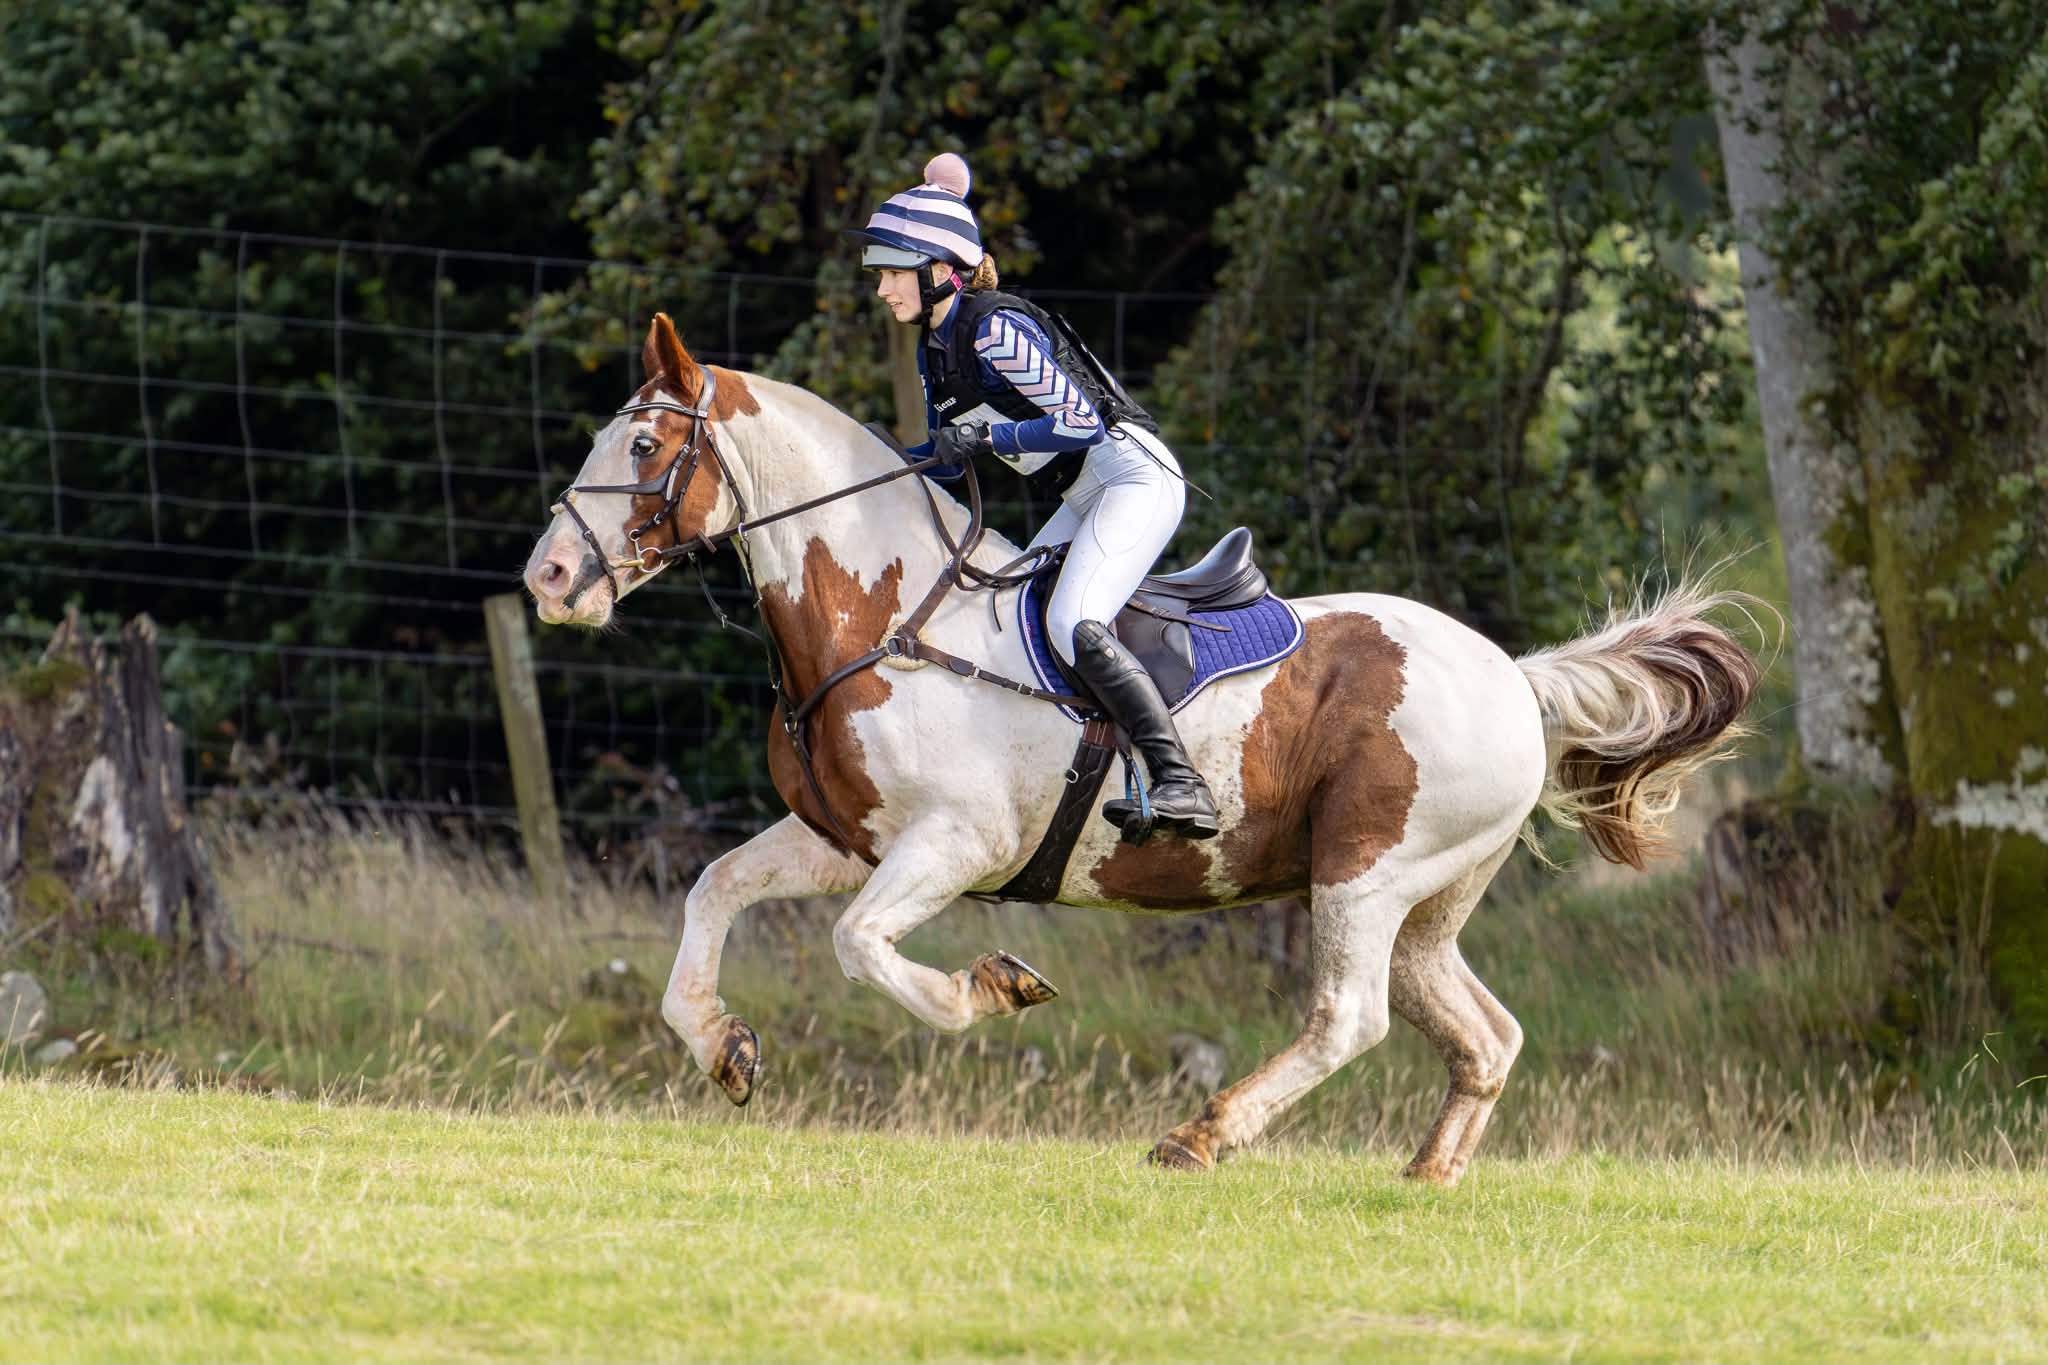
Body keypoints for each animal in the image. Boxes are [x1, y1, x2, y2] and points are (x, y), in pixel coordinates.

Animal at [522, 315, 1762, 1186]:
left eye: (644, 442)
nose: (548, 578)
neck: (884, 612)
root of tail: (1513, 672)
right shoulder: (847, 838)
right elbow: (716, 889)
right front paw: (719, 1046)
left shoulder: (953, 843)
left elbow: (861, 948)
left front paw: (991, 989)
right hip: (1426, 900)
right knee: (1481, 1033)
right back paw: (1426, 1172)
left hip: (1363, 872)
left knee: (1347, 1018)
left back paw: (1199, 1137)